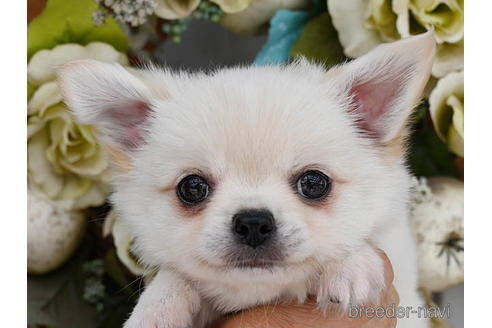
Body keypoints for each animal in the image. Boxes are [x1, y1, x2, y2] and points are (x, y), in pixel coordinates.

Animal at [56, 31, 434, 328]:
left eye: (314, 183)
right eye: (192, 188)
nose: (253, 222)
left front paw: (351, 265)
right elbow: (176, 275)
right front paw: (157, 306)